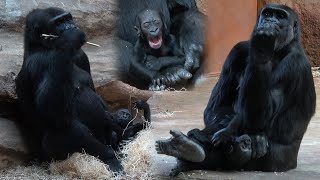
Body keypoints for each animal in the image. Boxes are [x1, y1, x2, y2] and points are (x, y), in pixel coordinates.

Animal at [14, 7, 122, 173]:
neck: (40, 46)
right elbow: (50, 111)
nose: (71, 26)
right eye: (58, 23)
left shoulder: (81, 56)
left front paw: (111, 122)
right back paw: (110, 157)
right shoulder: (39, 61)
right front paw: (69, 39)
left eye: (68, 19)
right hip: (51, 158)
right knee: (72, 130)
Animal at [154, 3, 316, 176]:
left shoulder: (294, 63)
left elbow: (260, 117)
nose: (270, 21)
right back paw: (187, 151)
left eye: (280, 17)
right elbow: (216, 108)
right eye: (267, 14)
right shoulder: (237, 50)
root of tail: (293, 163)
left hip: (280, 162)